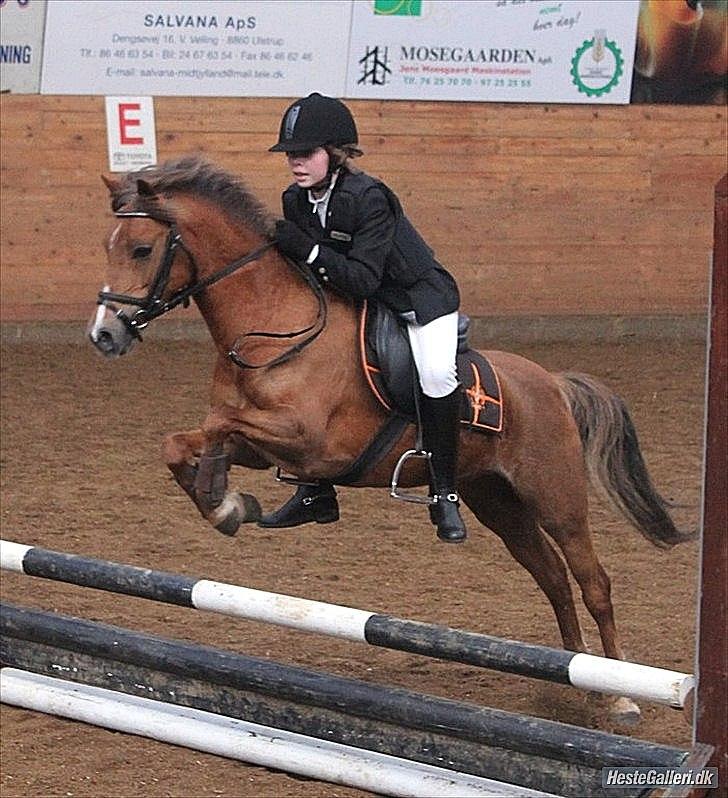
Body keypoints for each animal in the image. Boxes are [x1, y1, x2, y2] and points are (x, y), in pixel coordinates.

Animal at [88, 156, 692, 724]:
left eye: (142, 249)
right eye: (108, 246)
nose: (104, 335)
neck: (272, 327)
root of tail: (553, 384)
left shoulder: (310, 441)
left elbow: (218, 429)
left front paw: (224, 498)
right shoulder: (262, 446)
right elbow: (182, 442)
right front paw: (227, 505)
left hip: (556, 499)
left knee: (594, 583)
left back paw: (620, 697)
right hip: (498, 502)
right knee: (554, 580)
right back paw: (583, 686)